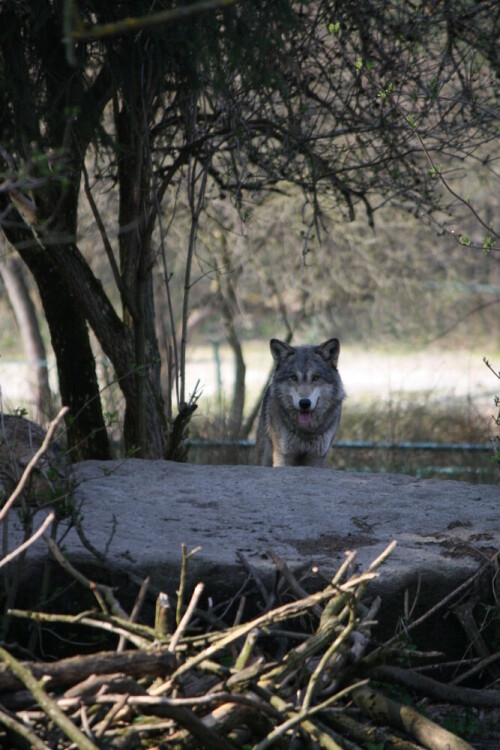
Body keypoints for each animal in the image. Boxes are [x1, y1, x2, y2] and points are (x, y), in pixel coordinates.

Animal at [256, 342, 346, 470]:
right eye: (293, 377)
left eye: (316, 378)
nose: (304, 403)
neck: (305, 430)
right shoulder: (283, 456)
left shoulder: (316, 457)